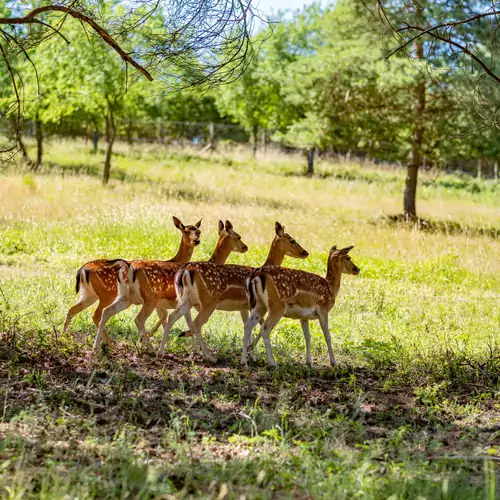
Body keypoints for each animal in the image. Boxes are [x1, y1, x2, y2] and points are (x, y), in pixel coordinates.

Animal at [63, 217, 201, 346]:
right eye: (185, 231)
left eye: (199, 231)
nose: (196, 241)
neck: (175, 261)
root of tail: (82, 270)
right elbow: (164, 317)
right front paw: (148, 337)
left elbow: (164, 318)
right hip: (107, 294)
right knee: (97, 314)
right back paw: (110, 343)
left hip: (89, 294)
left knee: (72, 310)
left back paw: (64, 337)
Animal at [92, 219, 248, 352]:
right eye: (238, 236)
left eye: (199, 231)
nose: (245, 247)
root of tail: (128, 267)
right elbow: (191, 323)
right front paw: (194, 350)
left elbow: (183, 322)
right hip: (149, 298)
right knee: (137, 319)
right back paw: (149, 348)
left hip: (126, 297)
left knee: (106, 312)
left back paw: (99, 346)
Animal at [158, 222, 310, 360]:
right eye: (292, 240)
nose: (305, 252)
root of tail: (185, 271)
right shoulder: (252, 305)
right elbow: (258, 326)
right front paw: (252, 354)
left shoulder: (244, 307)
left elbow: (248, 326)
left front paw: (250, 354)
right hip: (208, 301)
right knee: (195, 323)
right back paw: (209, 356)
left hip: (186, 299)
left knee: (173, 317)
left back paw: (162, 352)